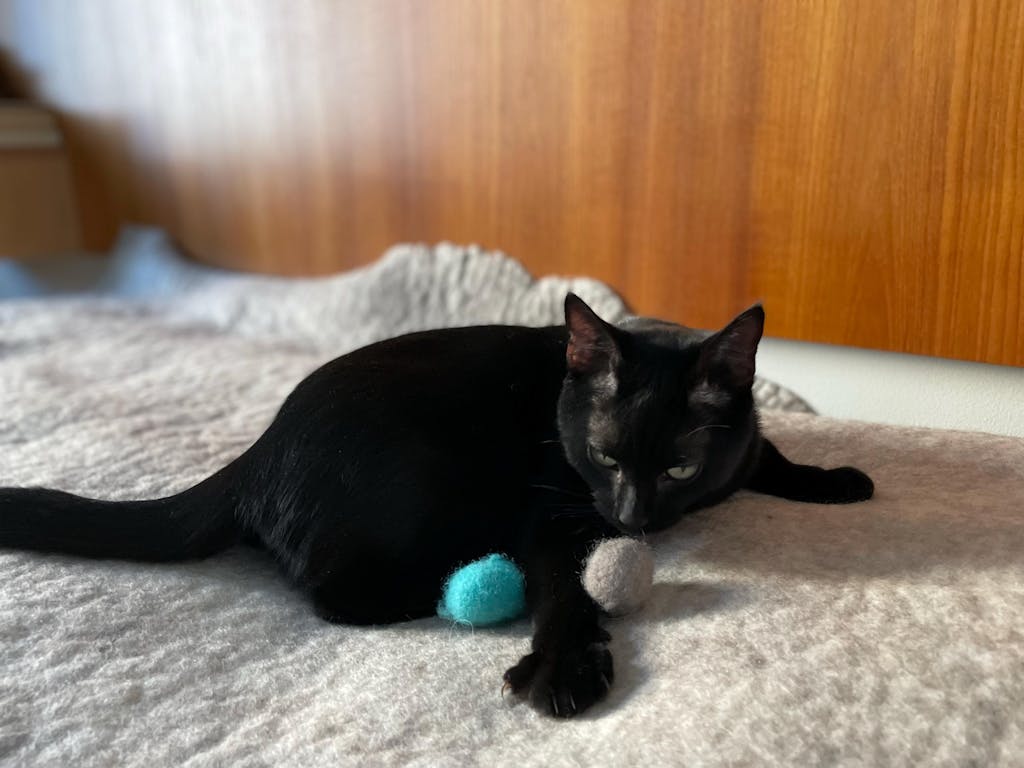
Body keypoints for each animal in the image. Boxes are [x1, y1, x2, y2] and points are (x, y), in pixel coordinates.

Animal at [0, 295, 873, 718]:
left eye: (681, 465)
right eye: (604, 456)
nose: (630, 520)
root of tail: (254, 456)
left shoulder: (739, 443)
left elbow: (766, 454)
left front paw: (836, 480)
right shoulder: (552, 515)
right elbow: (567, 590)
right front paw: (565, 666)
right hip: (435, 479)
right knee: (337, 594)